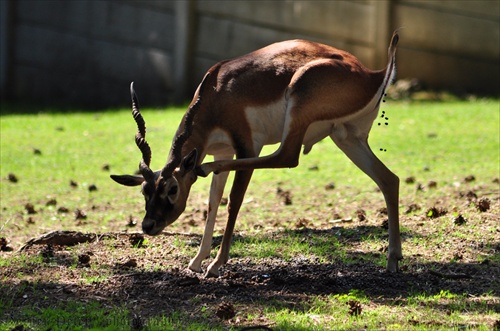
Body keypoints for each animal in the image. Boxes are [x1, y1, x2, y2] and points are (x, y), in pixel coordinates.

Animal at [112, 31, 402, 278]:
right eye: (145, 191)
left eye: (172, 188)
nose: (148, 225)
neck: (217, 92)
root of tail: (373, 76)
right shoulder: (221, 151)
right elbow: (212, 202)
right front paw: (196, 261)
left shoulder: (246, 146)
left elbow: (233, 201)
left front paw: (215, 265)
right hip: (347, 137)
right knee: (389, 179)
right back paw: (393, 260)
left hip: (298, 112)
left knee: (287, 156)